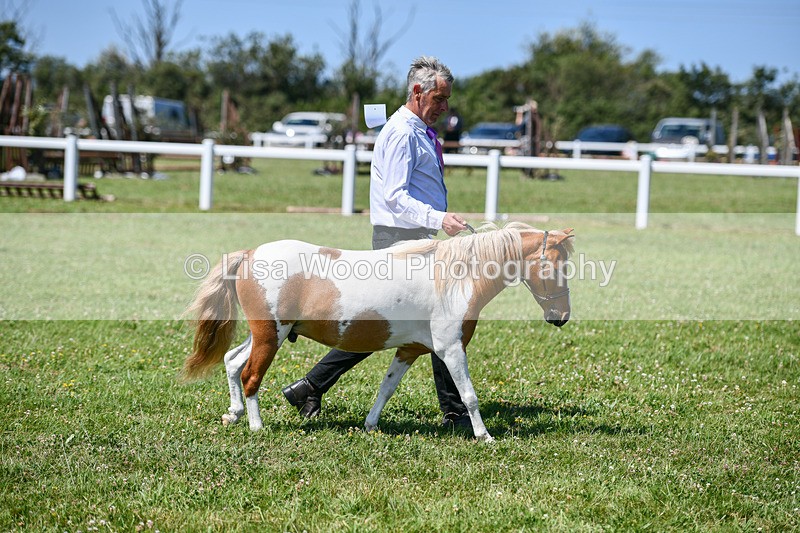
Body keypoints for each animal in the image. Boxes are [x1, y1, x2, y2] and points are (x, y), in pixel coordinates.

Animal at [182, 222, 574, 442]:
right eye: (556, 266)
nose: (561, 316)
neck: (456, 277)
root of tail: (249, 254)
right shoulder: (450, 349)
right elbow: (469, 395)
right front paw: (485, 435)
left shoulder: (410, 350)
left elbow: (386, 388)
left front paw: (371, 425)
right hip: (270, 336)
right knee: (250, 376)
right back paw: (256, 426)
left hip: (266, 334)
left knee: (232, 362)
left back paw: (233, 414)